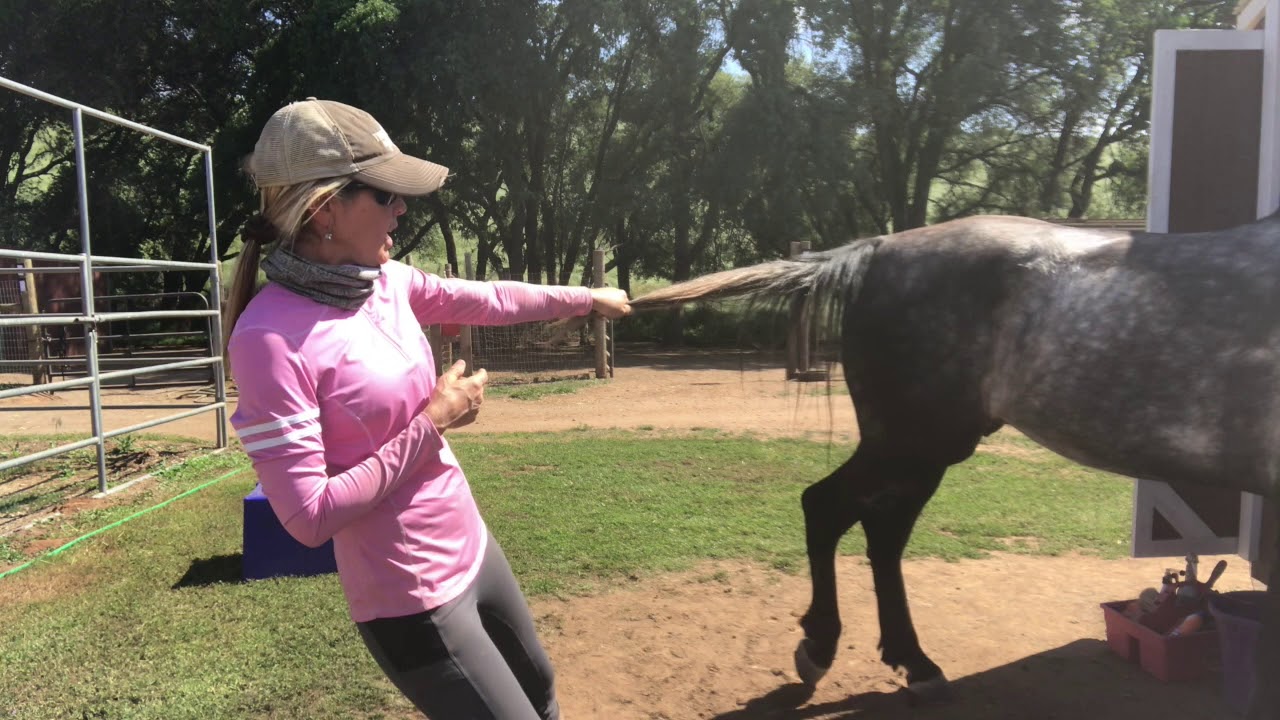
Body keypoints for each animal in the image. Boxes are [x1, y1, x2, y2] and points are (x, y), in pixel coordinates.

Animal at [630, 212, 1280, 719]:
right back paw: (829, 650)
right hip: (915, 443)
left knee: (876, 532)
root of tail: (878, 249)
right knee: (829, 507)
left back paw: (908, 663)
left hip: (922, 452)